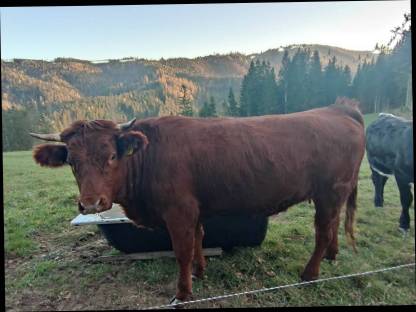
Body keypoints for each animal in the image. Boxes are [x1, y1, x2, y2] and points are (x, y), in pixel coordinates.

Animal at [30, 102, 366, 304]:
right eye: (72, 162)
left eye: (112, 156)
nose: (91, 204)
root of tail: (338, 108)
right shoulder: (194, 209)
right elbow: (199, 240)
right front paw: (199, 271)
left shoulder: (178, 211)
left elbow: (182, 250)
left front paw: (183, 292)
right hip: (334, 195)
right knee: (333, 225)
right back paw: (333, 256)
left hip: (330, 191)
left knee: (323, 231)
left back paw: (310, 274)